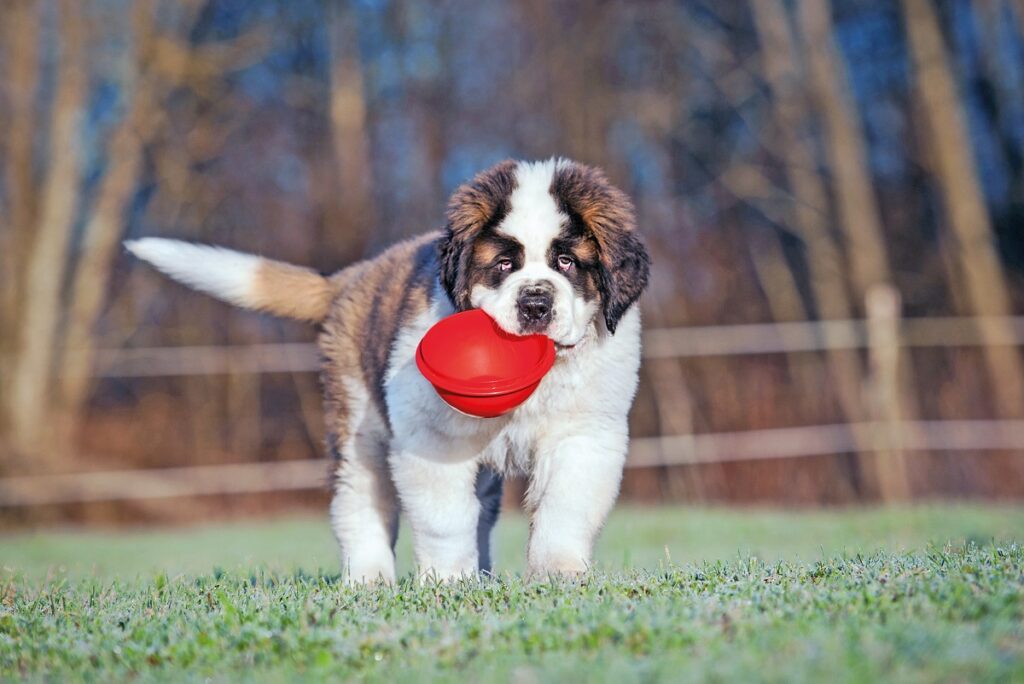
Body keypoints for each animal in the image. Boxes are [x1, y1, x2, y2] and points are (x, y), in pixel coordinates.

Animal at [125, 157, 647, 581]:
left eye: (567, 261)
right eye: (503, 264)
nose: (535, 303)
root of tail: (353, 277)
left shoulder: (584, 434)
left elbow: (566, 506)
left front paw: (560, 574)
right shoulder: (431, 438)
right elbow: (445, 518)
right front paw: (448, 583)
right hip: (359, 422)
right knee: (358, 499)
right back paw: (369, 579)